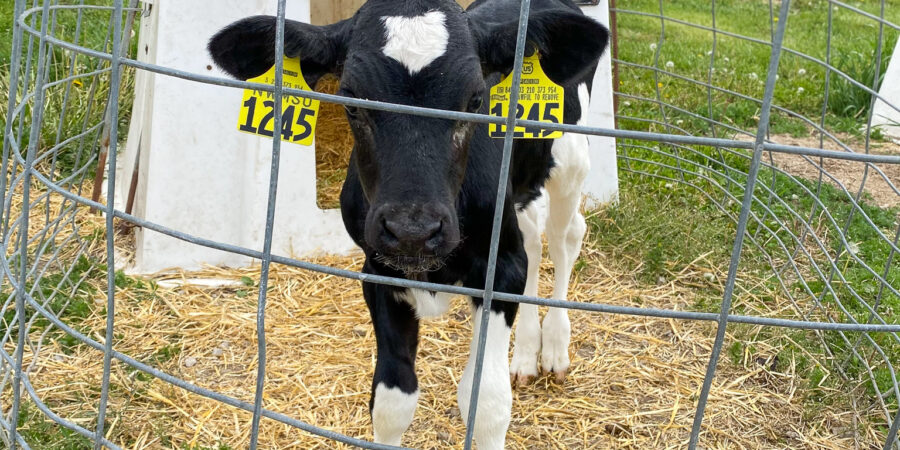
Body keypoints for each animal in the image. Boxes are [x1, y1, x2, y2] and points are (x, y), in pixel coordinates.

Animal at [208, 0, 608, 447]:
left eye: (475, 100)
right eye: (350, 100)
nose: (413, 231)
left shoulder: (500, 266)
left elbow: (485, 401)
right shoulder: (378, 271)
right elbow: (391, 401)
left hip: (571, 159)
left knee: (564, 235)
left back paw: (554, 348)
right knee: (535, 240)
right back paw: (525, 354)